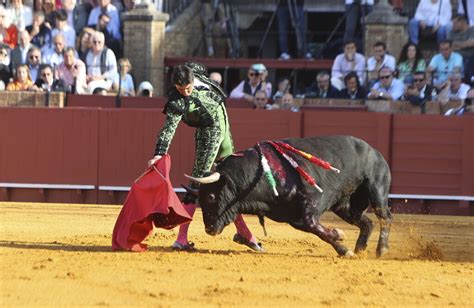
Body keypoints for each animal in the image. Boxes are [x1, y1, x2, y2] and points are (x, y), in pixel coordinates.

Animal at [185, 135, 392, 258]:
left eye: (211, 197)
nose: (209, 229)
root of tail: (374, 151)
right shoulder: (292, 217)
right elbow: (317, 231)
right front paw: (342, 245)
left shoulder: (311, 201)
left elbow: (315, 226)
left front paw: (340, 238)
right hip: (345, 205)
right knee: (366, 221)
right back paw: (360, 247)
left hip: (376, 189)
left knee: (385, 217)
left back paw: (381, 249)